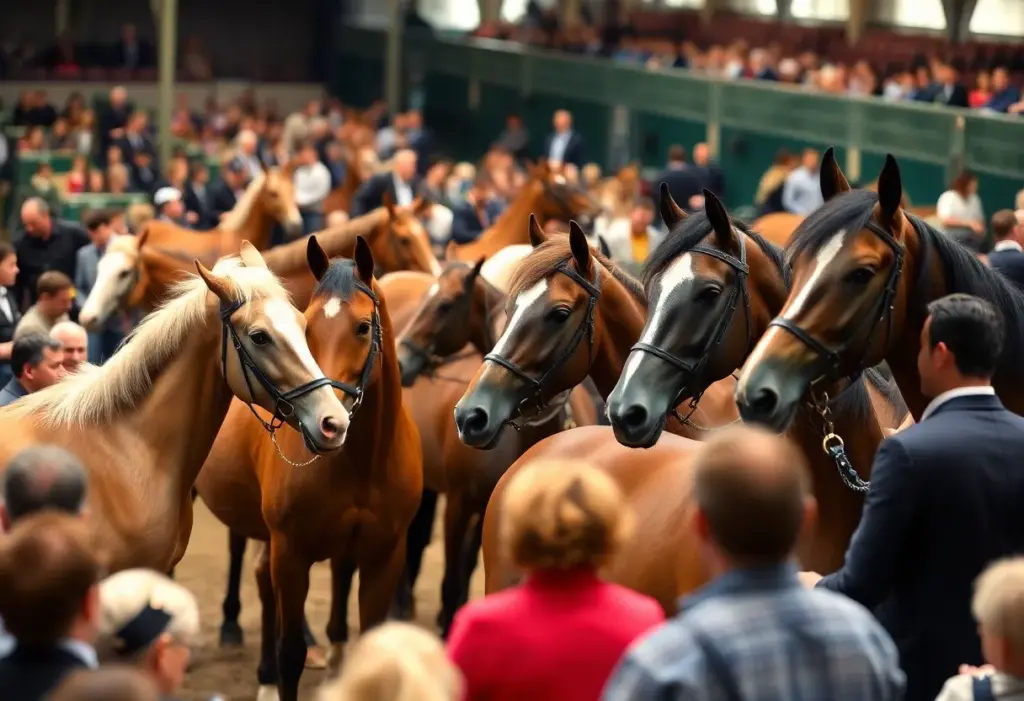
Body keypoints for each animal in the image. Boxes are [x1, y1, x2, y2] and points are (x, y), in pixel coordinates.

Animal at [196, 236, 421, 701]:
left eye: (362, 327)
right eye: (307, 327)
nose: (329, 423)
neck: (362, 465)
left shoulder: (384, 554)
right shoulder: (292, 553)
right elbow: (291, 654)